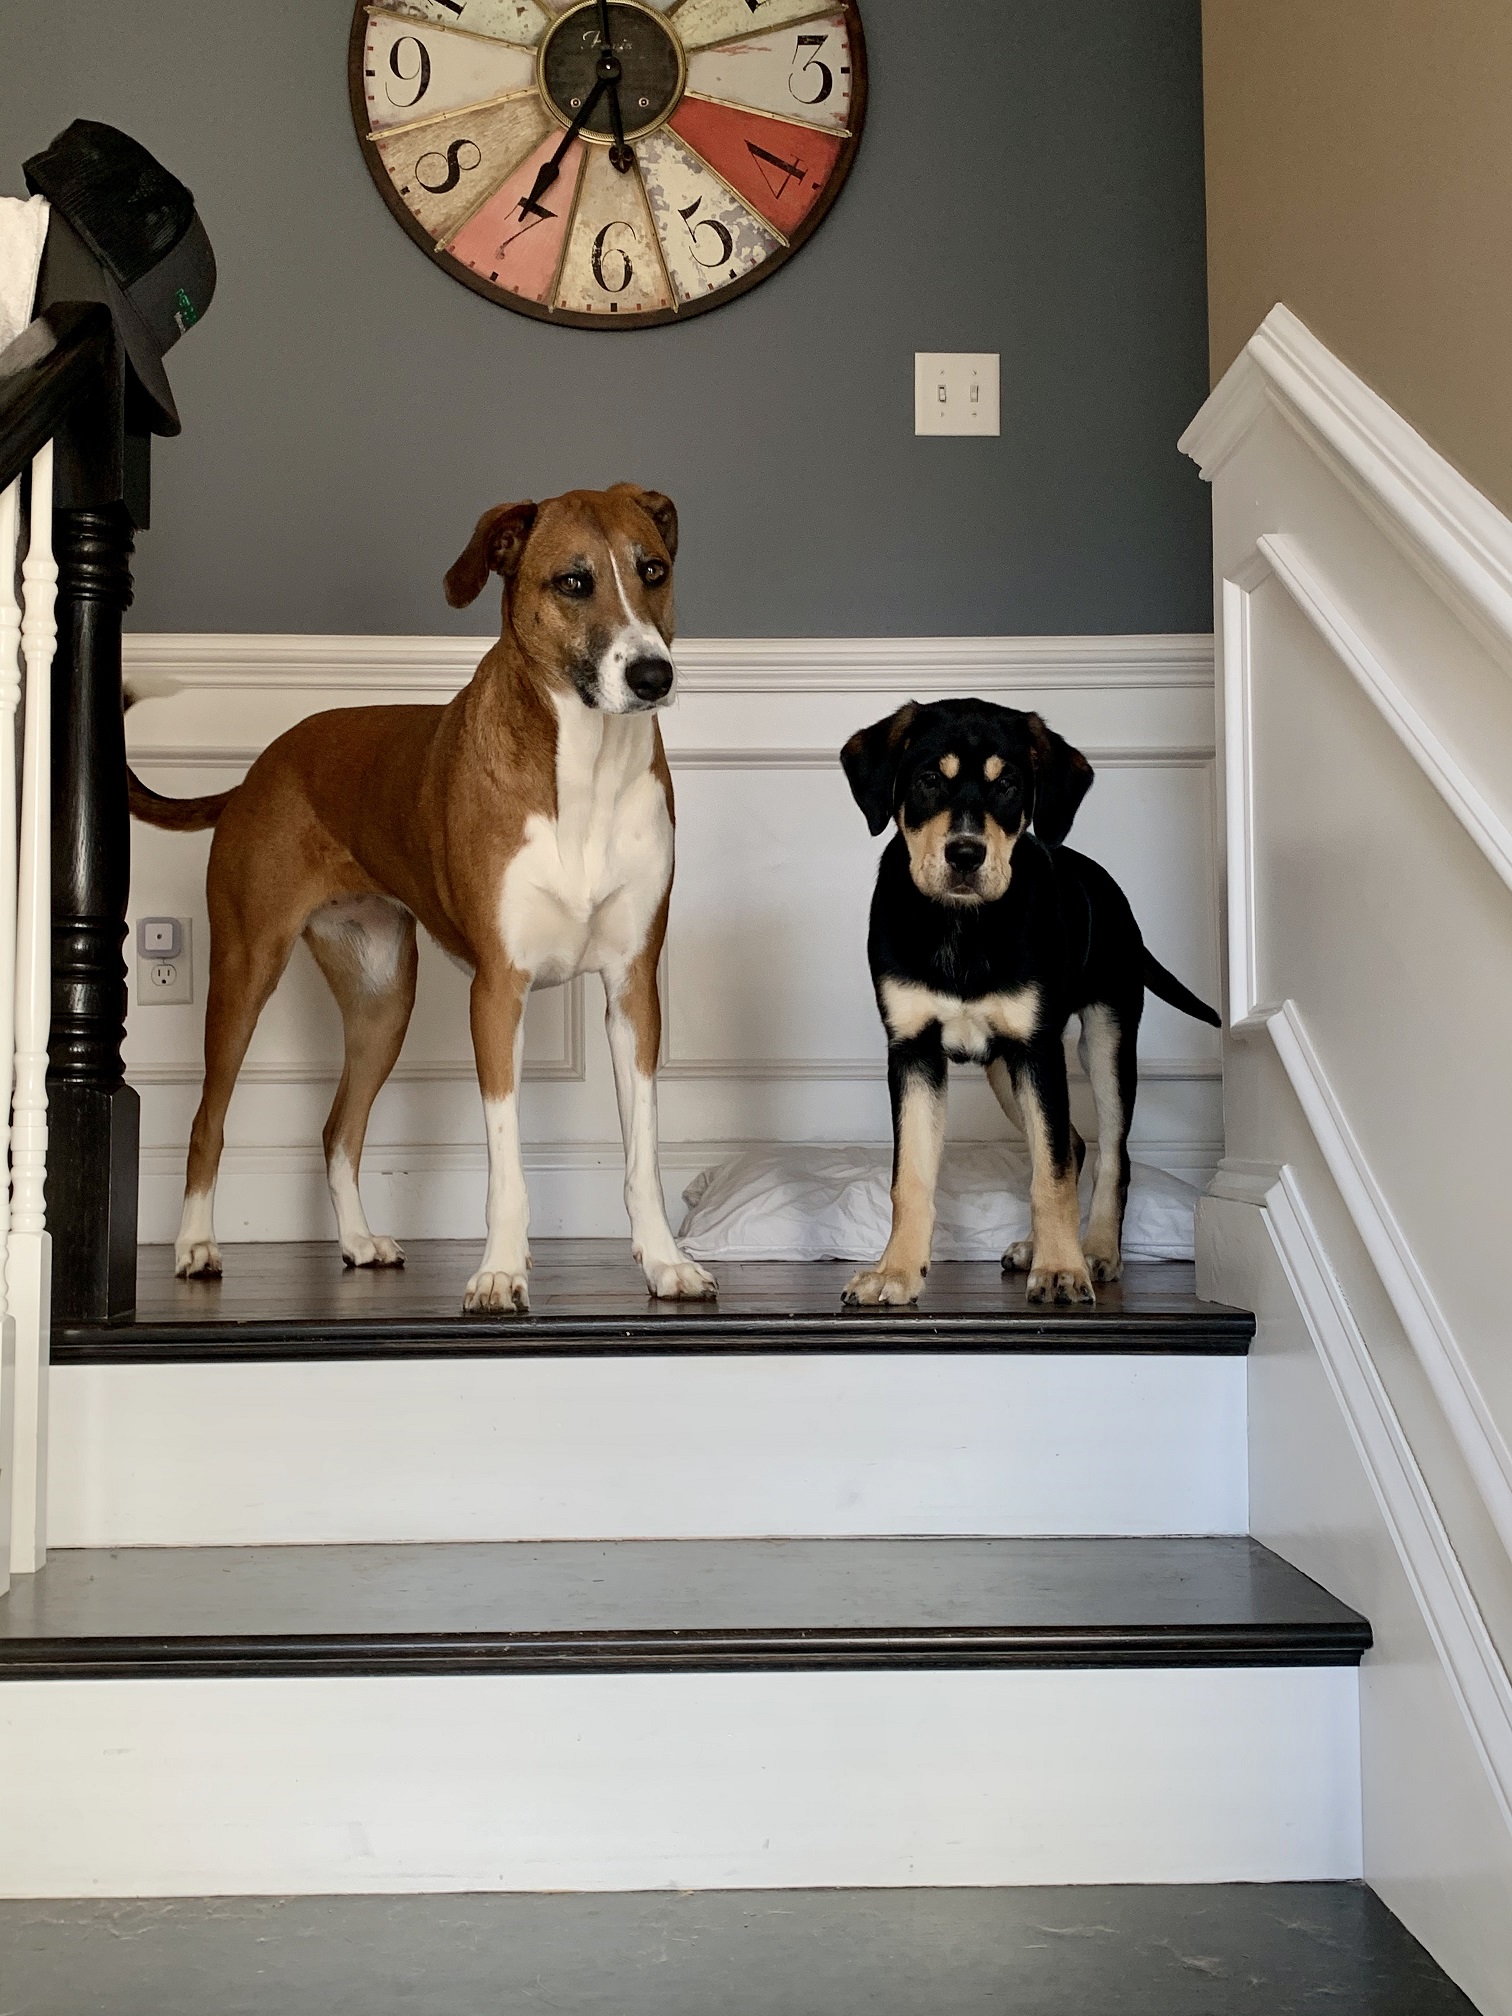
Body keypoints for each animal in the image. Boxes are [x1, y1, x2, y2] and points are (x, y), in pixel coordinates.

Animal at [128, 484, 716, 1313]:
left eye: (653, 570)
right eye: (574, 582)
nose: (652, 675)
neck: (587, 768)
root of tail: (256, 772)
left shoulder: (633, 990)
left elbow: (643, 1154)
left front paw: (665, 1261)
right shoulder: (498, 992)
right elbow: (506, 1163)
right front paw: (499, 1271)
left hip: (383, 999)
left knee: (338, 1129)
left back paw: (355, 1240)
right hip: (245, 972)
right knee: (207, 1121)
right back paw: (194, 1245)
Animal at [839, 698, 1219, 1308]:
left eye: (1008, 784)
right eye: (928, 780)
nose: (965, 854)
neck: (963, 927)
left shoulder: (1039, 1051)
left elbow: (1052, 1174)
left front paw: (1062, 1270)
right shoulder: (913, 1051)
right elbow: (911, 1177)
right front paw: (894, 1273)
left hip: (1105, 1039)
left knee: (1109, 1153)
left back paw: (1096, 1252)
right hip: (1004, 1068)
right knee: (1075, 1143)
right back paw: (1035, 1248)